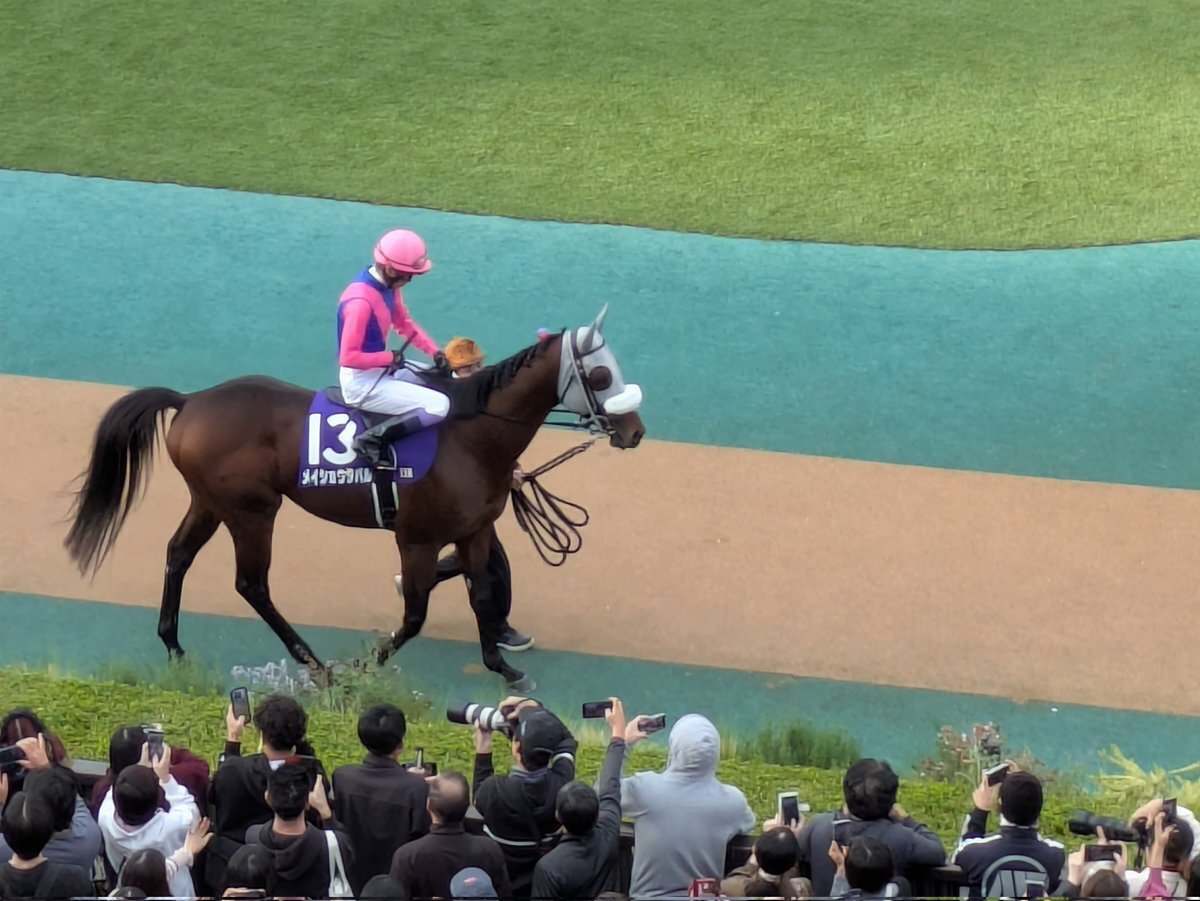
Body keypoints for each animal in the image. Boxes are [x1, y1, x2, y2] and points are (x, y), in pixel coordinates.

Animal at [63, 306, 644, 689]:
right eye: (600, 373)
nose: (636, 432)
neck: (469, 436)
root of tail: (191, 401)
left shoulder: (474, 530)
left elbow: (482, 595)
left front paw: (503, 667)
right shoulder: (416, 539)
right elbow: (413, 616)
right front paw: (362, 666)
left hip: (210, 502)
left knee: (178, 555)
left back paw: (174, 644)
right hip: (253, 510)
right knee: (252, 583)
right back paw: (317, 665)